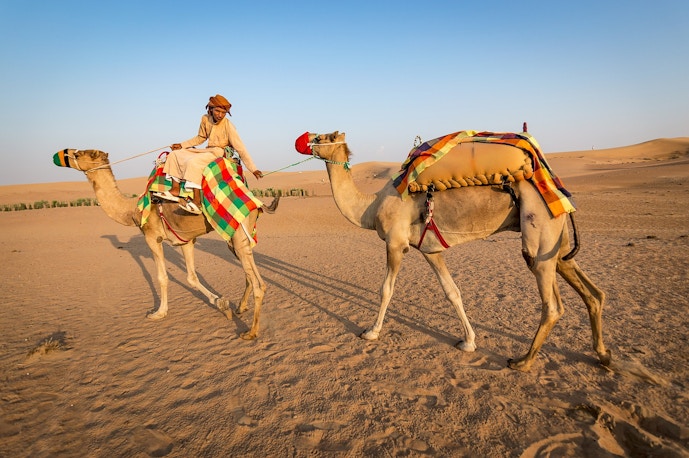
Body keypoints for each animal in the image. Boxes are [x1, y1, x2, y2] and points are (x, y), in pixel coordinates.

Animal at [53, 148, 278, 338]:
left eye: (79, 153)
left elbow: (162, 277)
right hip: (236, 237)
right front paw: (221, 303)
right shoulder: (186, 240)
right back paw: (240, 307)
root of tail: (256, 201)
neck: (133, 210)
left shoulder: (152, 237)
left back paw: (251, 332)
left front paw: (158, 312)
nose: (60, 153)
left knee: (259, 284)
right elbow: (191, 277)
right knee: (251, 274)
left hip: (237, 231)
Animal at [298, 130, 612, 372]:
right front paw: (469, 342)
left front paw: (371, 332)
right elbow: (452, 292)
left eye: (323, 137)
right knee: (593, 292)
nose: (304, 139)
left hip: (539, 232)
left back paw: (523, 361)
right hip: (557, 241)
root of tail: (555, 185)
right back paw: (603, 355)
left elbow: (386, 289)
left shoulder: (395, 244)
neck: (371, 206)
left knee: (552, 304)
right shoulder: (430, 250)